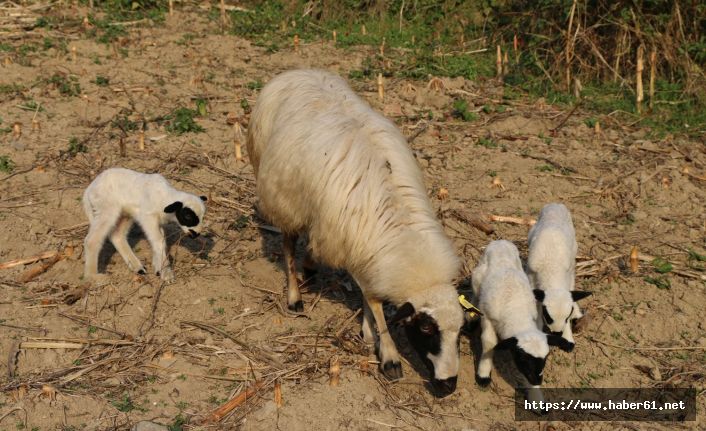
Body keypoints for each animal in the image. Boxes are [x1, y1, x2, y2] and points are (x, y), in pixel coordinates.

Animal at [246, 69, 462, 396]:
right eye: (425, 327)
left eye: (461, 331)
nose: (449, 385)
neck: (401, 231)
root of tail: (296, 71)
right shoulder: (358, 246)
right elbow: (374, 300)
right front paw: (389, 355)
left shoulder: (363, 246)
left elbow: (368, 293)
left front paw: (368, 330)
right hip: (284, 195)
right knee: (288, 242)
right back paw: (295, 295)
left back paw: (310, 266)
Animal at [470, 243, 564, 388]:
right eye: (523, 359)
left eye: (546, 358)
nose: (537, 381)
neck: (516, 311)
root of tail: (500, 243)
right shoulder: (487, 316)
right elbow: (489, 343)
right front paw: (483, 374)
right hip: (476, 279)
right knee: (475, 296)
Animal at [528, 202, 588, 352]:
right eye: (548, 316)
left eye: (567, 318)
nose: (557, 333)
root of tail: (555, 205)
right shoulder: (531, 278)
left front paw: (568, 338)